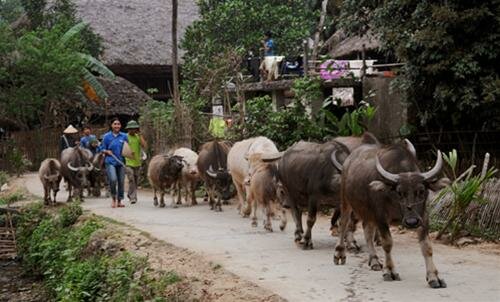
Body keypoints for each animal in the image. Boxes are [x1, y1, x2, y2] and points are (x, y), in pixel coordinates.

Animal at [332, 139, 450, 288]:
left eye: (421, 191)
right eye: (399, 192)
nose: (411, 222)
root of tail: (347, 162)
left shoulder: (423, 217)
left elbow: (427, 247)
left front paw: (434, 277)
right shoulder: (380, 217)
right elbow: (387, 243)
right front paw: (390, 271)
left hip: (367, 212)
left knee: (367, 231)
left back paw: (374, 261)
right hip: (346, 200)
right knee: (344, 223)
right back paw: (339, 254)